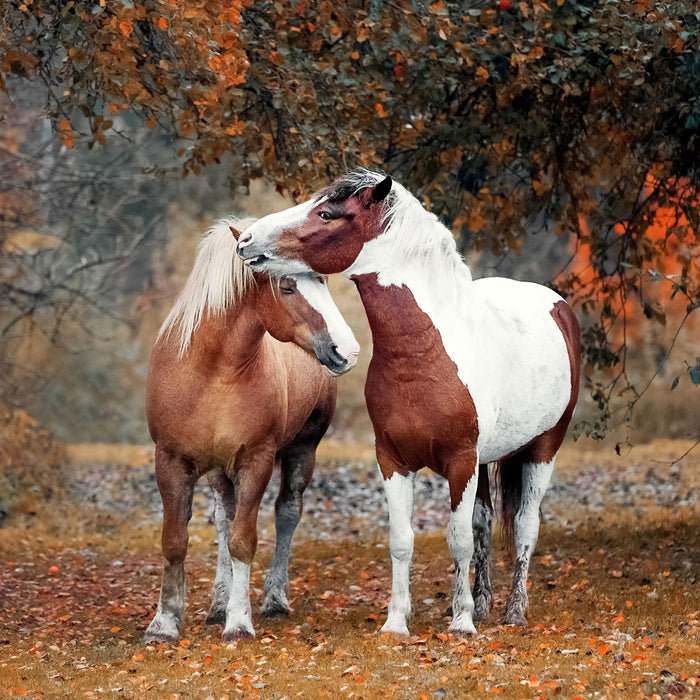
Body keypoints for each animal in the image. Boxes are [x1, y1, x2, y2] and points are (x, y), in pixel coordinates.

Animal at [144, 216, 358, 644]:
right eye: (288, 286)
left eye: (323, 281)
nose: (347, 351)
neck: (212, 372)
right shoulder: (172, 461)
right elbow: (176, 541)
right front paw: (164, 623)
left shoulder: (255, 461)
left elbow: (244, 541)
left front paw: (239, 622)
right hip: (219, 471)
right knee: (224, 519)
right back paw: (218, 603)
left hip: (302, 451)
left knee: (287, 513)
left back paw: (274, 600)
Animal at [238, 172, 584, 636]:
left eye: (326, 213)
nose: (247, 241)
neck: (423, 352)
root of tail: (556, 305)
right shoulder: (394, 461)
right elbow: (404, 540)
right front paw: (397, 622)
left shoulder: (460, 462)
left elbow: (458, 539)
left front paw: (461, 624)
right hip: (487, 461)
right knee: (485, 522)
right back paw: (484, 605)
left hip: (543, 450)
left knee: (527, 526)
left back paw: (514, 612)